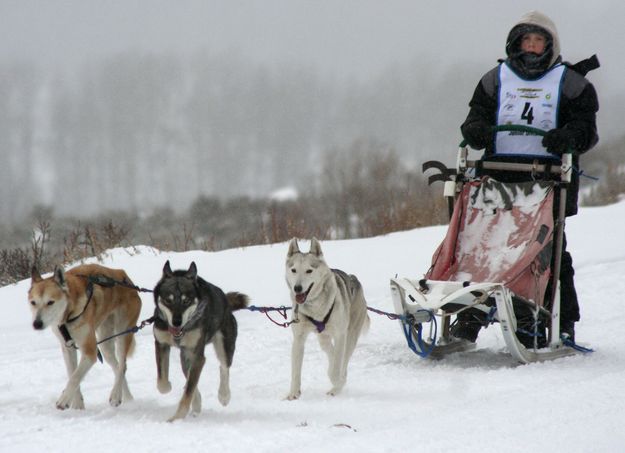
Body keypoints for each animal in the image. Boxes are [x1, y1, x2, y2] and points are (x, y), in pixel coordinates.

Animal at [29, 264, 141, 408]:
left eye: (50, 302)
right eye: (33, 302)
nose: (37, 324)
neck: (68, 314)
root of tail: (125, 277)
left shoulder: (90, 351)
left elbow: (75, 378)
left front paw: (64, 399)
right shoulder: (67, 347)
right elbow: (72, 374)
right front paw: (77, 404)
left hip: (123, 333)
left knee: (122, 365)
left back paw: (116, 395)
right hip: (105, 345)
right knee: (117, 369)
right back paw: (126, 397)